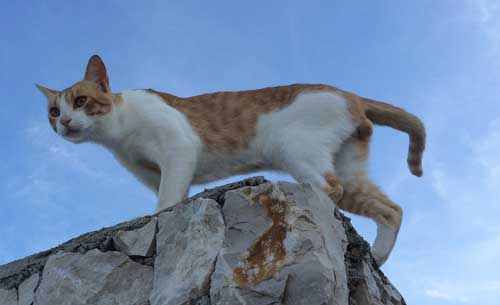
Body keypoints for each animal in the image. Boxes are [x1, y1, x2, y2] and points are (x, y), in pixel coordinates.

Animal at [36, 55, 426, 266]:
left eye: (81, 101)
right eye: (53, 111)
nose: (64, 122)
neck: (120, 131)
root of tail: (350, 94)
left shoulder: (178, 149)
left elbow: (166, 203)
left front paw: (158, 218)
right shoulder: (153, 172)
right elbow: (170, 197)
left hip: (295, 149)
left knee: (328, 188)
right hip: (349, 169)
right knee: (391, 209)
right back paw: (378, 255)